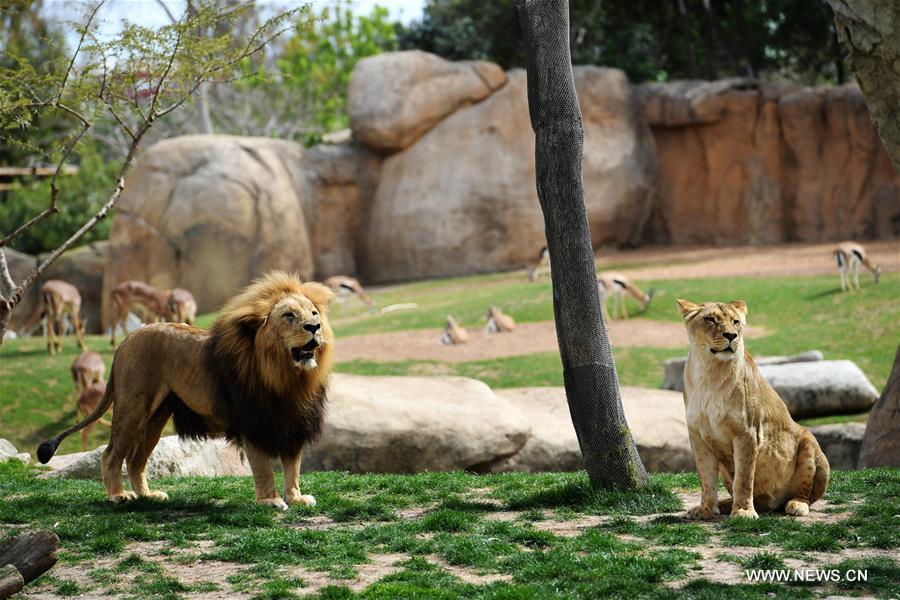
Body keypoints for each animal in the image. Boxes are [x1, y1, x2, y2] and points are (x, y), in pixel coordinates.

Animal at [37, 272, 334, 510]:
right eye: (289, 316)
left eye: (314, 314)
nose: (314, 327)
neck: (288, 377)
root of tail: (125, 342)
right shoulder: (253, 424)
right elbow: (263, 469)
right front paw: (270, 501)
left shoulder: (293, 421)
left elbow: (293, 467)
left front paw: (296, 498)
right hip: (132, 408)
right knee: (111, 454)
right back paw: (118, 496)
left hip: (156, 416)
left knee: (135, 460)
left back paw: (148, 496)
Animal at [676, 300, 828, 520]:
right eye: (710, 319)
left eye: (736, 322)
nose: (731, 336)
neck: (709, 373)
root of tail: (772, 503)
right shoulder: (698, 436)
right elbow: (706, 477)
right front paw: (705, 509)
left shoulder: (747, 433)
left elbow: (744, 478)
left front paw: (743, 511)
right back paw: (724, 505)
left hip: (809, 442)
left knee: (806, 494)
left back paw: (796, 505)